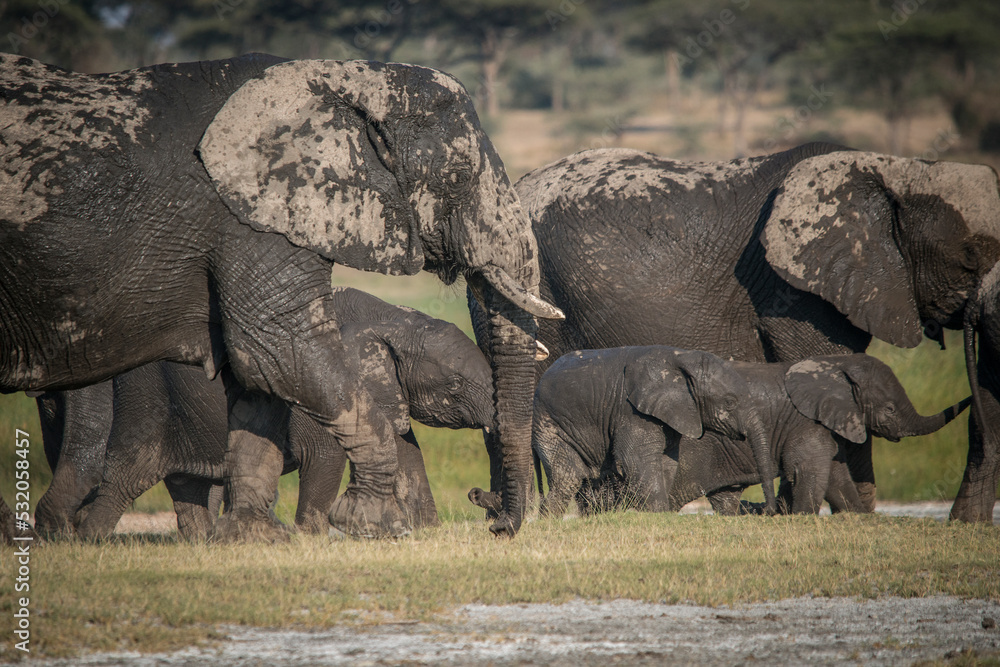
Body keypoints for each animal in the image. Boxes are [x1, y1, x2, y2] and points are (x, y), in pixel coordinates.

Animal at [33, 287, 494, 540]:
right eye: (455, 386)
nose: (477, 495)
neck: (393, 318)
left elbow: (406, 454)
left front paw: (426, 533)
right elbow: (326, 458)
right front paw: (312, 540)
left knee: (188, 485)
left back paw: (202, 544)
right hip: (146, 399)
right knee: (128, 474)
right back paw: (89, 541)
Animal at [486, 346, 777, 518]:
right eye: (729, 402)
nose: (770, 511)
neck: (681, 358)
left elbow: (667, 464)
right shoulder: (632, 412)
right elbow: (636, 461)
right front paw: (658, 517)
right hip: (550, 424)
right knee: (569, 476)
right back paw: (551, 522)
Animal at [667, 354, 970, 515]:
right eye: (890, 409)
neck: (836, 365)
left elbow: (837, 477)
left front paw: (858, 517)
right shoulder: (806, 422)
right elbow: (810, 470)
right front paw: (801, 517)